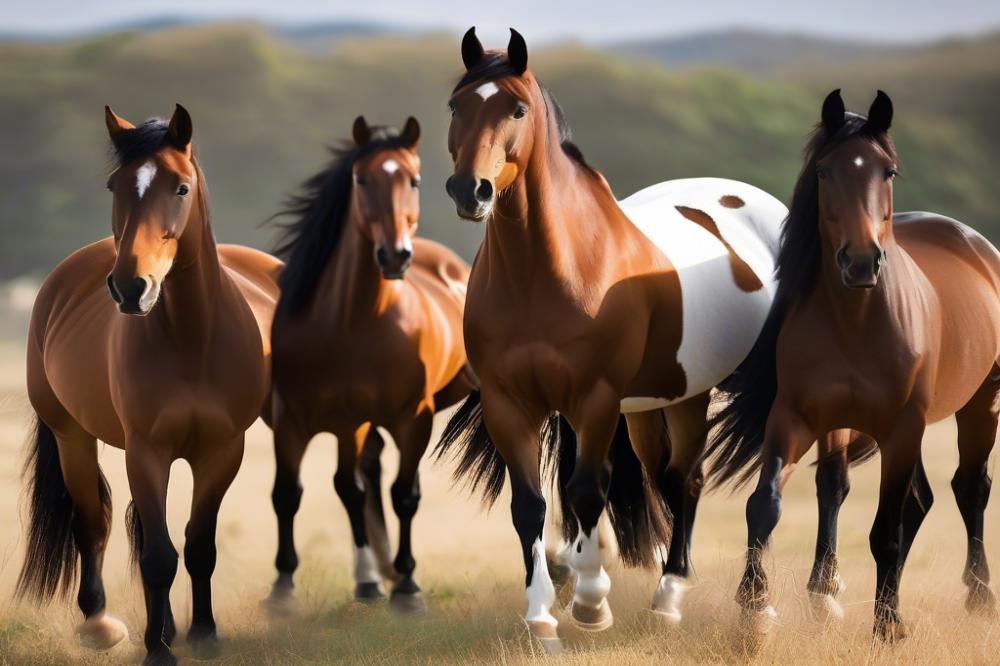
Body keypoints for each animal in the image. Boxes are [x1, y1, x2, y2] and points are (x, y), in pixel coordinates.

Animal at [17, 105, 281, 665]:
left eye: (180, 187)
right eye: (114, 185)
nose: (130, 286)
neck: (191, 339)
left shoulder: (221, 450)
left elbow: (198, 544)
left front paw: (204, 633)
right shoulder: (146, 451)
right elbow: (158, 554)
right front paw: (158, 650)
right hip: (73, 438)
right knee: (92, 524)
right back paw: (101, 625)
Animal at [262, 116, 474, 613]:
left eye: (414, 180)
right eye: (361, 180)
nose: (395, 256)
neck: (351, 323)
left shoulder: (412, 418)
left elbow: (404, 495)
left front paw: (408, 587)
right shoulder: (303, 417)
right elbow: (295, 493)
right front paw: (283, 588)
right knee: (364, 479)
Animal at [435, 27, 794, 653]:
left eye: (517, 110)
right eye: (458, 106)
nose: (469, 190)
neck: (547, 271)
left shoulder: (595, 399)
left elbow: (585, 490)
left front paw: (590, 601)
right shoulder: (512, 404)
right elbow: (531, 507)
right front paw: (541, 618)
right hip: (669, 398)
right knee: (678, 480)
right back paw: (668, 599)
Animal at [707, 89, 1000, 642]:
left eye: (889, 171)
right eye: (824, 172)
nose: (861, 261)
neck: (858, 320)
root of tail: (977, 244)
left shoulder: (902, 425)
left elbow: (886, 528)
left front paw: (888, 625)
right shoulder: (796, 416)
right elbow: (767, 503)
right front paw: (755, 605)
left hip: (980, 404)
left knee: (968, 489)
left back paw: (979, 597)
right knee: (883, 494)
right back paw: (836, 592)